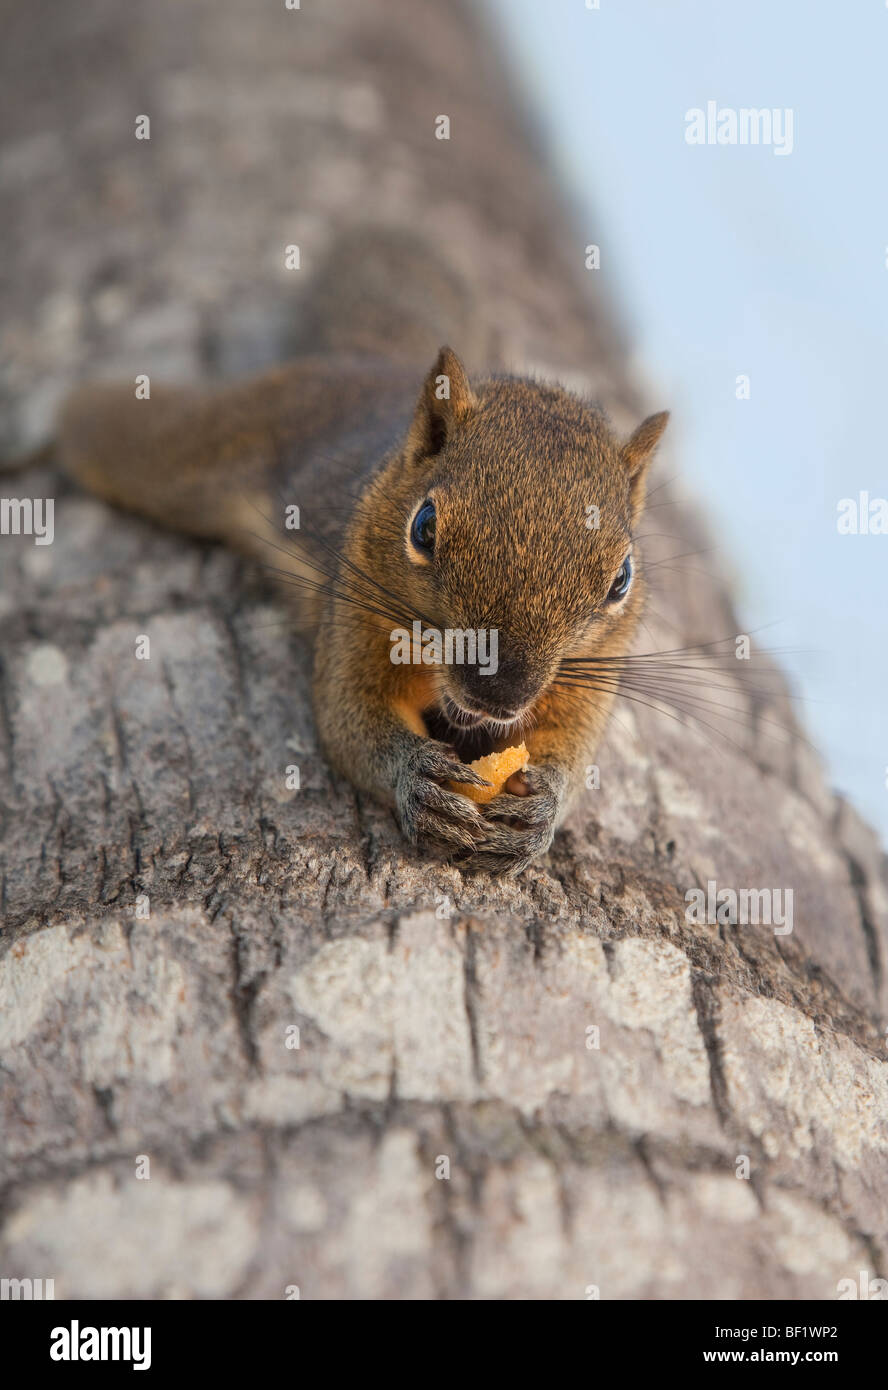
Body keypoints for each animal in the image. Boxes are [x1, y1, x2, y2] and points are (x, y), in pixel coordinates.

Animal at [53, 343, 667, 872]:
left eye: (622, 580)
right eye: (423, 527)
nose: (498, 695)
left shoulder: (592, 673)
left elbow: (572, 750)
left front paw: (545, 807)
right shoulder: (357, 609)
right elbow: (349, 720)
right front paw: (416, 777)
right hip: (195, 447)